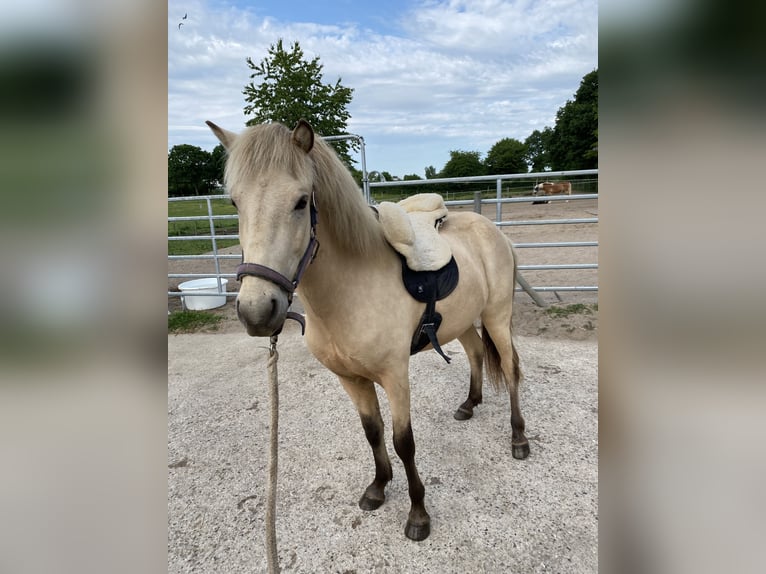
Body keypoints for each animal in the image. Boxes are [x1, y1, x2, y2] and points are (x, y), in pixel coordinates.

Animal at [207, 119, 532, 544]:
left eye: (300, 202)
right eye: (234, 203)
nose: (257, 311)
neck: (352, 286)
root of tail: (492, 230)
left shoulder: (395, 376)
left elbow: (403, 441)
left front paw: (417, 514)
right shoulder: (350, 379)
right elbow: (372, 432)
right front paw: (378, 487)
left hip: (496, 316)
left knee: (510, 370)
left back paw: (519, 439)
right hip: (463, 321)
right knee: (477, 352)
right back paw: (469, 404)